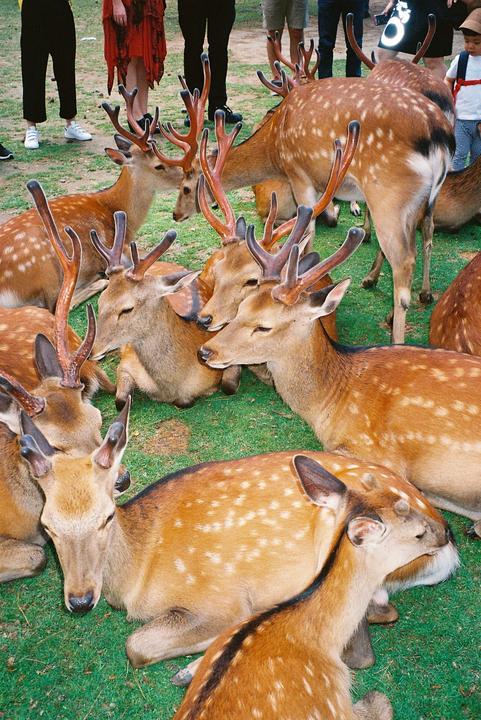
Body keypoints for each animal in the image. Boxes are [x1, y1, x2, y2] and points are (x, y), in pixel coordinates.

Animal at [17, 397, 458, 679]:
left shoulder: (216, 597)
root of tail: (446, 541)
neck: (135, 578)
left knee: (377, 612)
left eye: (107, 516)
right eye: (47, 525)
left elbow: (136, 645)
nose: (79, 600)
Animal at [89, 212, 239, 408]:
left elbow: (225, 387)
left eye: (127, 309)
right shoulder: (126, 363)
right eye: (100, 301)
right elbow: (121, 400)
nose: (91, 350)